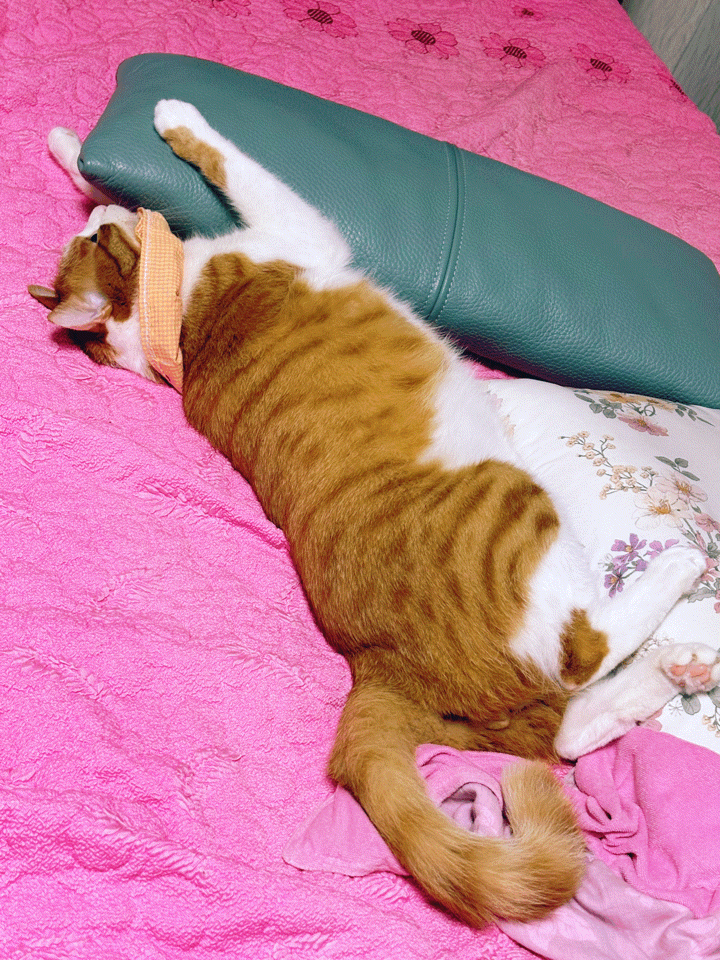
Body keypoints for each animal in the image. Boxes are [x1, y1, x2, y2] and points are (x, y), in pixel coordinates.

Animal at [29, 100, 720, 928]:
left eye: (85, 240)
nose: (99, 216)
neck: (175, 324)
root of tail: (377, 667)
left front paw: (70, 150)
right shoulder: (296, 225)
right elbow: (228, 159)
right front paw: (173, 115)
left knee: (568, 732)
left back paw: (676, 669)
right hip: (516, 512)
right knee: (581, 656)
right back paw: (679, 570)